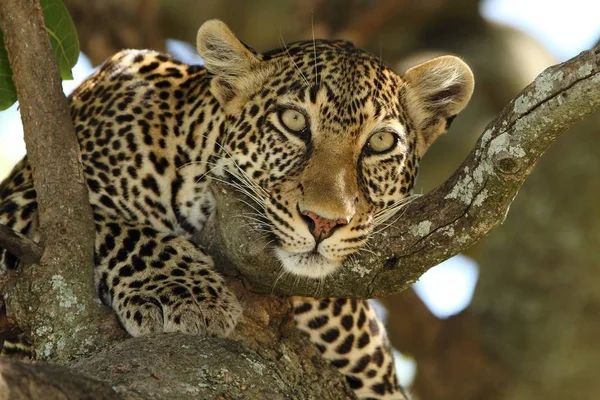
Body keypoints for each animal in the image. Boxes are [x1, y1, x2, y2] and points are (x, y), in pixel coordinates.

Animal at [0, 19, 474, 400]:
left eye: (380, 142)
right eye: (293, 122)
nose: (323, 222)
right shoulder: (19, 202)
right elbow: (108, 223)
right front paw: (182, 292)